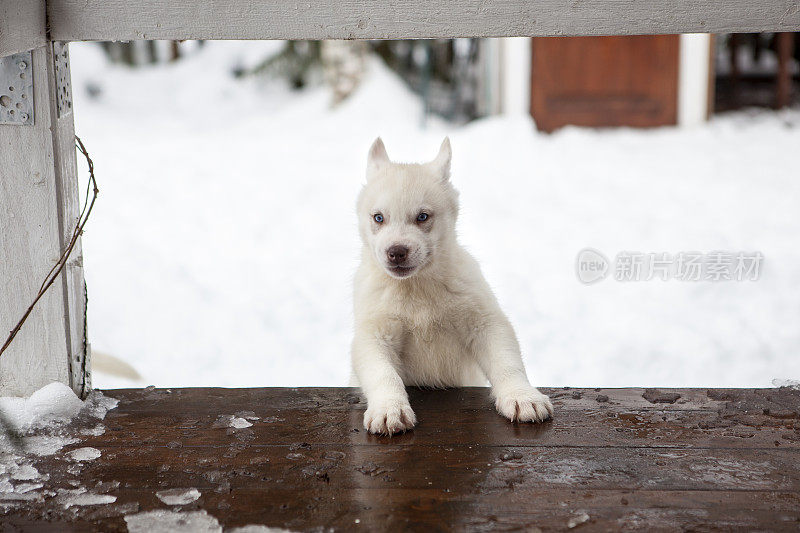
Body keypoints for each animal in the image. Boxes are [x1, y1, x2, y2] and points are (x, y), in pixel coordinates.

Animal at [354, 136, 552, 432]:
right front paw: (389, 409)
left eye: (422, 217)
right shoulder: (373, 335)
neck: (417, 287)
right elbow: (383, 374)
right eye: (378, 218)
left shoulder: (485, 322)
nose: (396, 252)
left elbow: (507, 362)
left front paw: (522, 396)